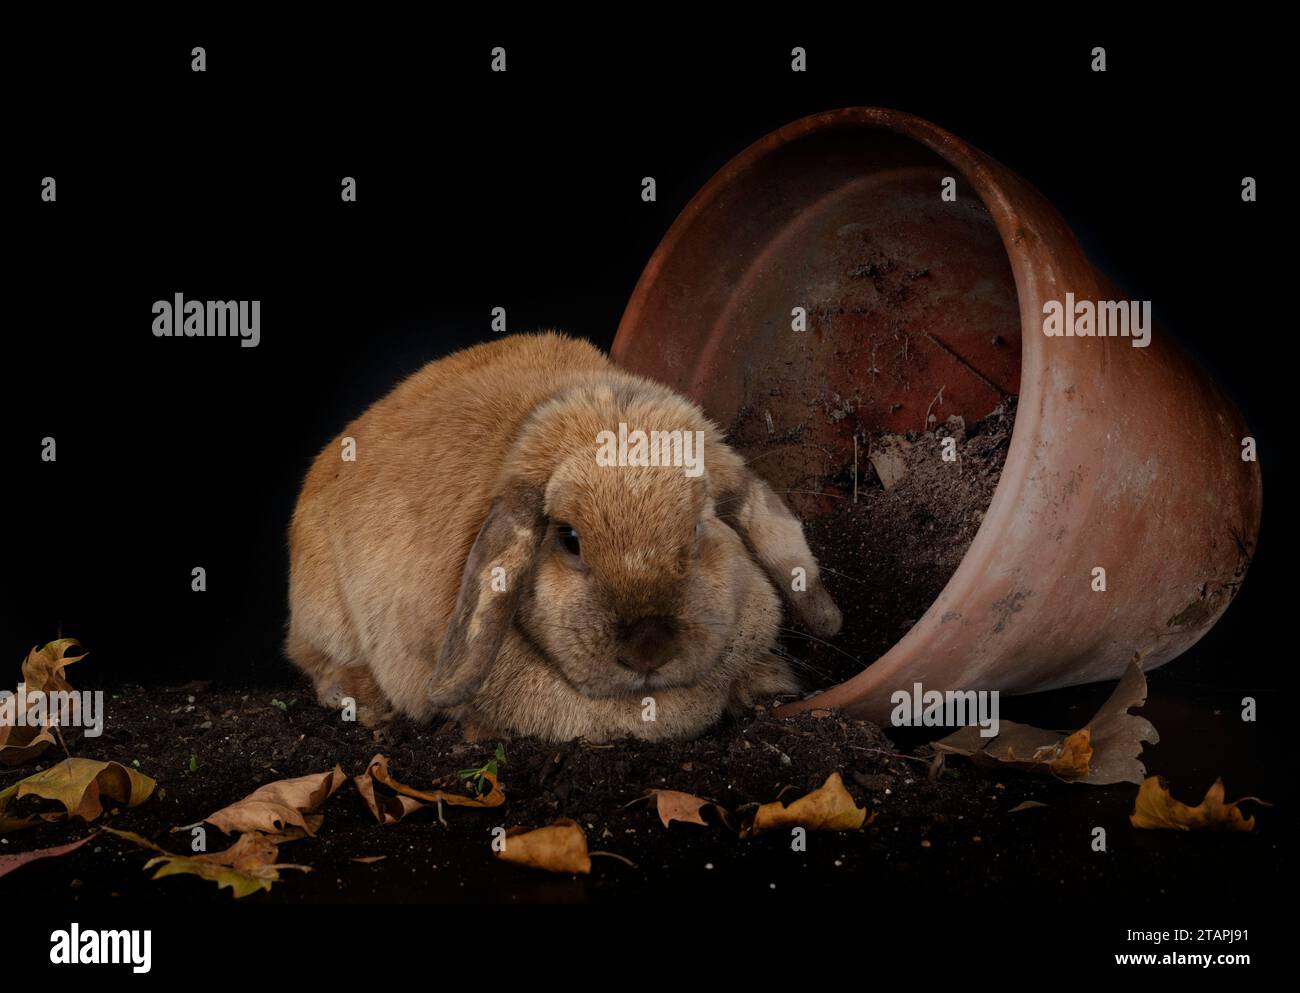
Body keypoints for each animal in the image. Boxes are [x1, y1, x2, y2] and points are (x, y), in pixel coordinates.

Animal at [285, 332, 841, 742]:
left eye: (700, 527)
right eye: (568, 538)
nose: (648, 647)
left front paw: (767, 682)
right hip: (323, 614)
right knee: (310, 658)